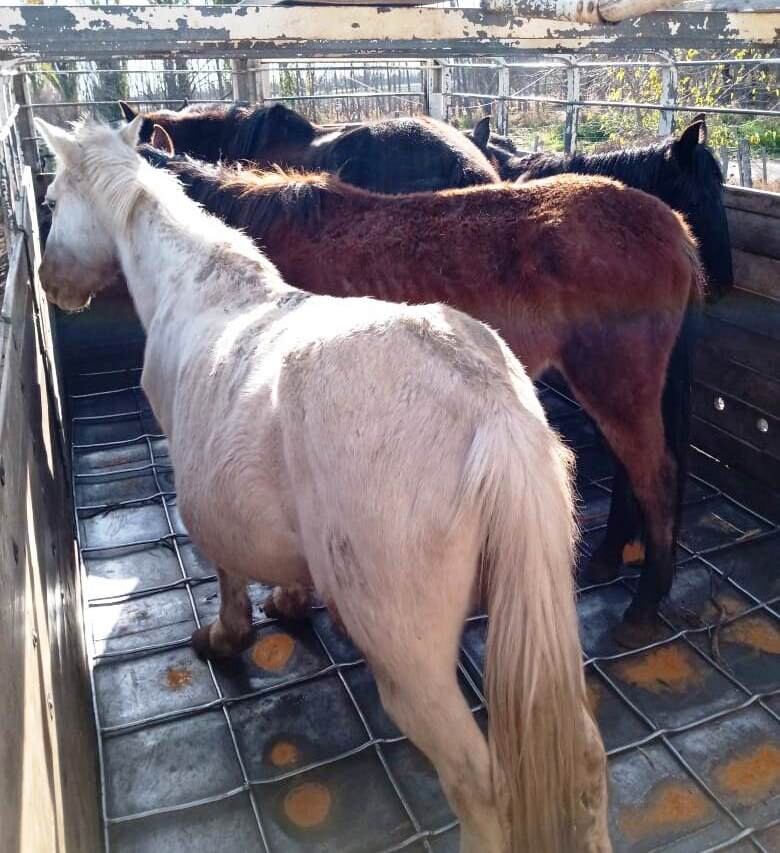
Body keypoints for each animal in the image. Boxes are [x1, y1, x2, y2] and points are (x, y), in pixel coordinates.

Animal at [35, 118, 608, 852]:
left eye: (51, 200)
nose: (52, 282)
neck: (197, 287)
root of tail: (491, 412)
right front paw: (289, 597)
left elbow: (225, 574)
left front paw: (225, 635)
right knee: (586, 757)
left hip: (411, 666)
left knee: (478, 783)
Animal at [142, 133, 708, 644]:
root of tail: (672, 226)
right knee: (630, 472)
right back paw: (608, 560)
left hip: (616, 384)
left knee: (654, 477)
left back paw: (644, 606)